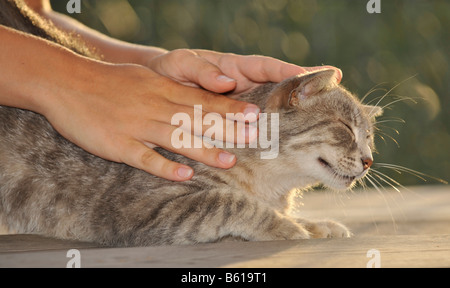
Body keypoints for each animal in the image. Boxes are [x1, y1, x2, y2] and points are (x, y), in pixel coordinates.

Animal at [0, 0, 382, 248]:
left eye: (368, 138)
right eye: (345, 129)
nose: (368, 161)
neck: (270, 183)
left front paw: (315, 223)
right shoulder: (137, 209)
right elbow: (231, 202)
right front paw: (287, 227)